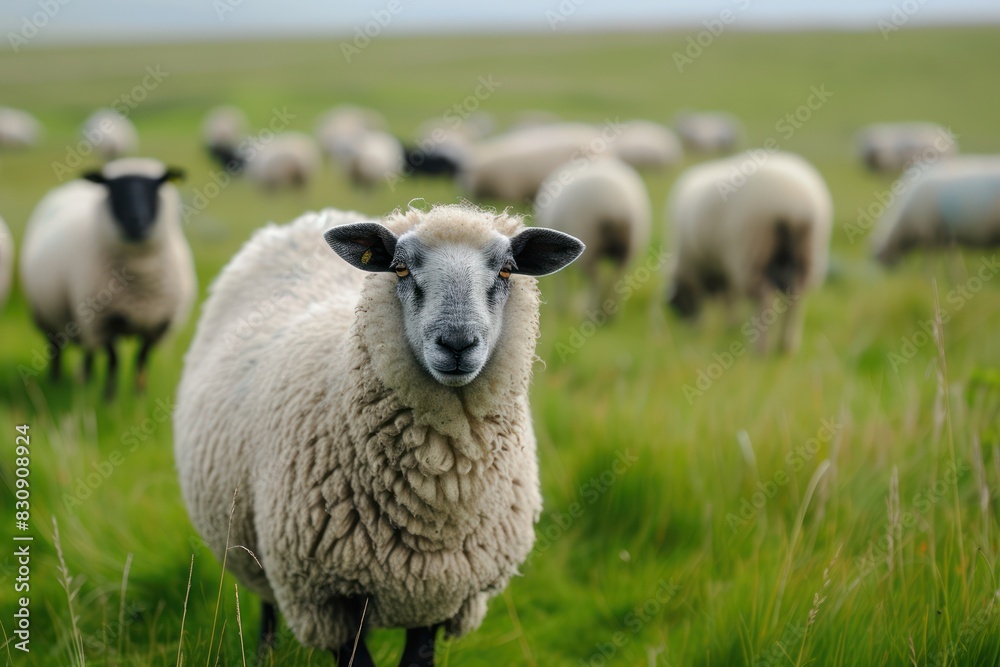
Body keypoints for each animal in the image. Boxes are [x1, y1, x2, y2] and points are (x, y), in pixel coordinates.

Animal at [19, 158, 195, 398]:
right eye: (112, 188)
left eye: (155, 186)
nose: (136, 221)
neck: (141, 280)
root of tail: (73, 187)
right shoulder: (103, 320)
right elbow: (114, 359)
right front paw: (109, 398)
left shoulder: (158, 323)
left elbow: (142, 359)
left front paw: (139, 395)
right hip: (52, 315)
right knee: (56, 348)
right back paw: (57, 381)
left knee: (88, 350)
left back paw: (86, 379)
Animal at [173, 203, 584, 666]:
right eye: (400, 269)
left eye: (507, 270)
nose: (457, 343)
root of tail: (309, 219)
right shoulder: (325, 597)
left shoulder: (442, 590)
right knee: (265, 601)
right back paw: (263, 653)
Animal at [534, 157, 652, 304]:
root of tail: (615, 208)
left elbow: (560, 279)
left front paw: (562, 303)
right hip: (627, 247)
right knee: (616, 278)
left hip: (589, 241)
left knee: (596, 280)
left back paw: (591, 305)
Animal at [666, 150, 832, 353]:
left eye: (679, 303)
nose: (688, 328)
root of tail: (796, 206)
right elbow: (730, 296)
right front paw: (732, 324)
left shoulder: (719, 266)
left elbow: (730, 297)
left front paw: (730, 324)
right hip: (807, 253)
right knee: (796, 298)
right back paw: (786, 347)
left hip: (752, 250)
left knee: (765, 298)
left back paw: (759, 349)